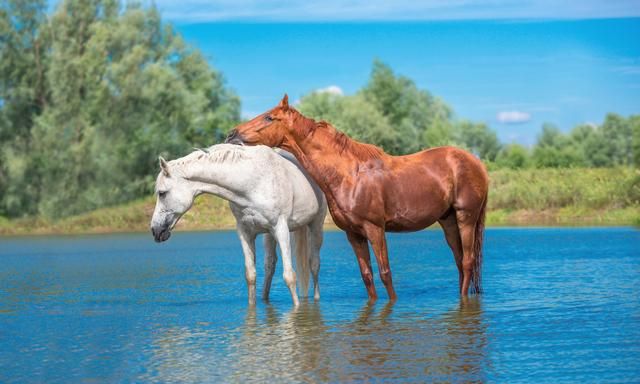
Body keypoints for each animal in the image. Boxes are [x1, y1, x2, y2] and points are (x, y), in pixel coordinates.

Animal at [150, 144, 328, 306]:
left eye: (162, 193)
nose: (155, 230)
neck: (254, 183)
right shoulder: (245, 232)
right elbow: (251, 276)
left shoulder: (281, 229)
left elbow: (289, 276)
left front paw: (297, 310)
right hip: (269, 235)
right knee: (270, 265)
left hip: (315, 226)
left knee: (314, 264)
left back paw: (316, 298)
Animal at [226, 95, 490, 300]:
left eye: (269, 118)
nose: (231, 134)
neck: (349, 174)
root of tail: (476, 163)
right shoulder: (353, 234)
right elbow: (367, 276)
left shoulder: (375, 229)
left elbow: (385, 273)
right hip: (448, 221)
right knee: (459, 261)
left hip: (466, 217)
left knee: (467, 261)